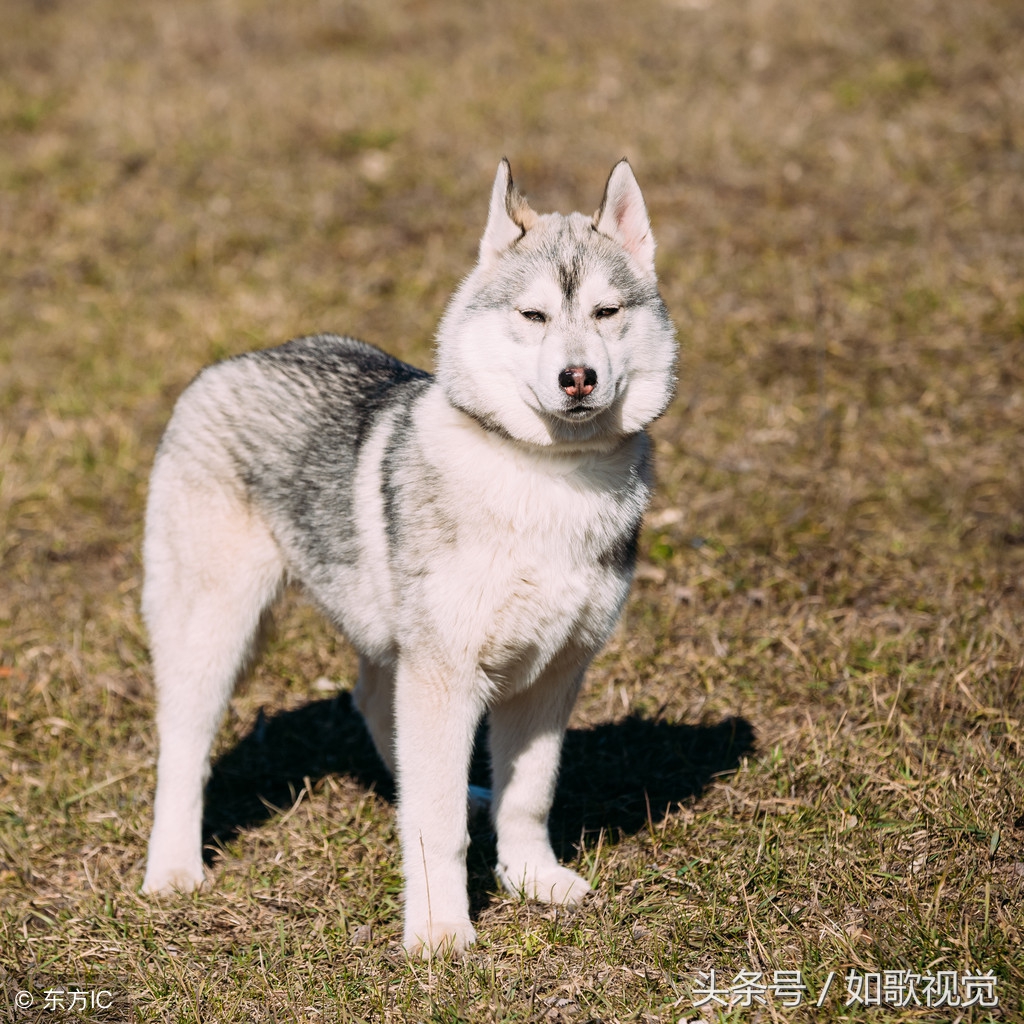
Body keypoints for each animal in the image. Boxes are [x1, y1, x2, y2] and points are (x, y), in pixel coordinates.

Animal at [138, 155, 679, 954]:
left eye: (608, 313)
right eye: (534, 317)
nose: (576, 377)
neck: (546, 482)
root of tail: (230, 363)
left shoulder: (550, 675)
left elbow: (529, 796)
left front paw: (531, 878)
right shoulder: (446, 670)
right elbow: (438, 825)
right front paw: (440, 931)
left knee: (376, 705)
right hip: (213, 632)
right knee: (182, 747)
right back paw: (172, 870)